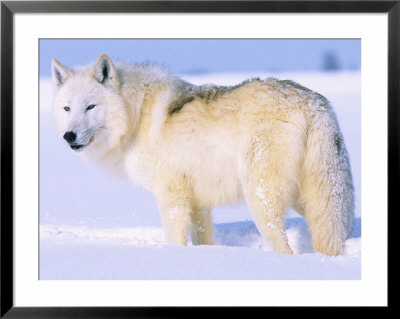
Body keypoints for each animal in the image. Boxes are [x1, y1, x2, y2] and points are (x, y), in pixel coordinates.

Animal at [50, 53, 354, 256]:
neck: (135, 116)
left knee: (283, 247)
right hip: (308, 197)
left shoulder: (170, 193)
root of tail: (312, 101)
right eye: (67, 109)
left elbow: (175, 236)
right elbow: (203, 237)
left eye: (90, 107)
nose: (69, 136)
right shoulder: (197, 202)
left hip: (261, 197)